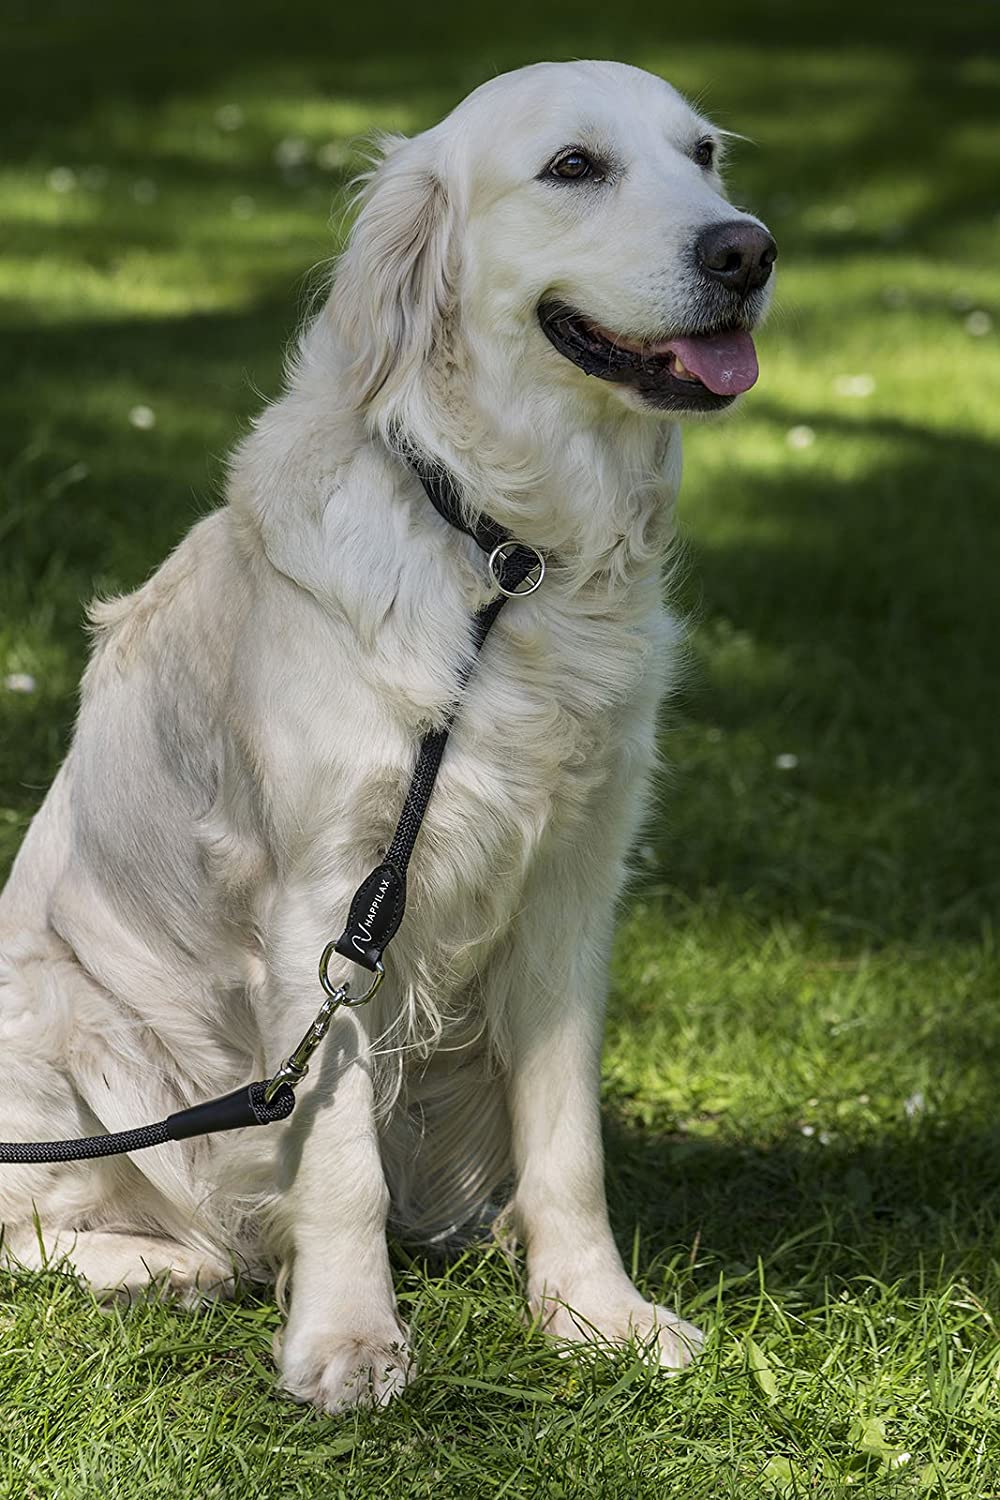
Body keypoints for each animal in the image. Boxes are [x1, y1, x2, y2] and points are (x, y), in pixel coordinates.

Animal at [0, 58, 773, 1410]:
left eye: (705, 155)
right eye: (574, 166)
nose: (749, 251)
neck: (506, 552)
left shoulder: (572, 890)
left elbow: (567, 1141)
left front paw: (594, 1310)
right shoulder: (326, 901)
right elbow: (339, 1163)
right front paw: (348, 1338)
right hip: (59, 1014)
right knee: (36, 1218)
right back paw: (163, 1265)